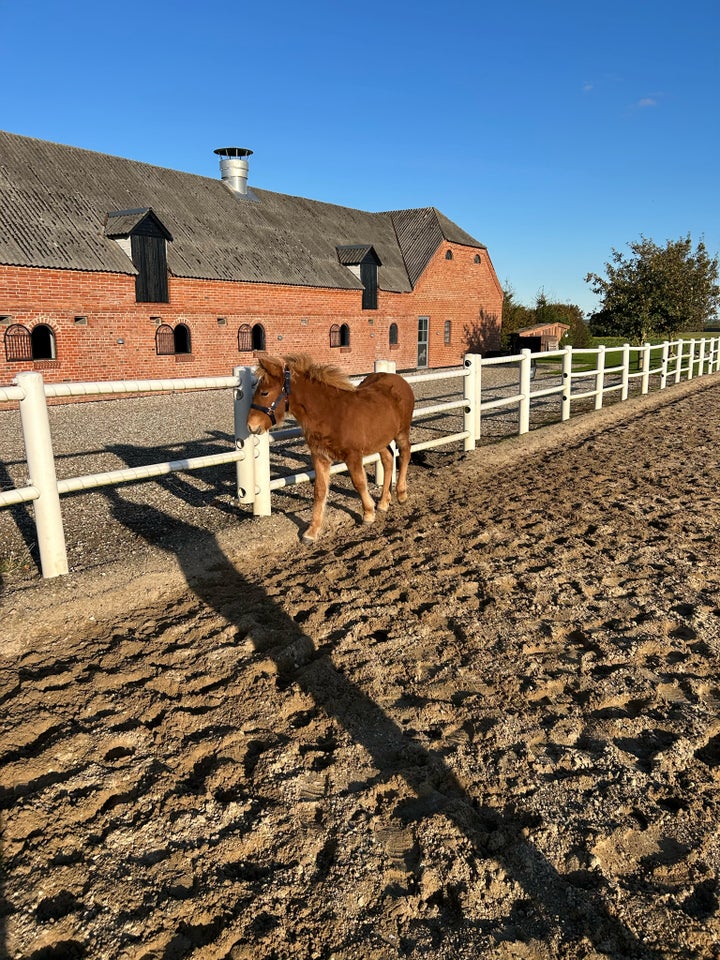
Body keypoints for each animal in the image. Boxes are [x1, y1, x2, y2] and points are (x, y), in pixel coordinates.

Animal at [248, 354, 416, 540]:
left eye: (264, 392)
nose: (251, 426)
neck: (330, 414)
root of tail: (400, 380)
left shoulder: (353, 455)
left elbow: (359, 482)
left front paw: (368, 514)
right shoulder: (320, 456)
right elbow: (320, 490)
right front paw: (312, 531)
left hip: (401, 431)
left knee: (405, 453)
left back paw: (401, 494)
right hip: (381, 439)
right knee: (387, 459)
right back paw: (384, 502)